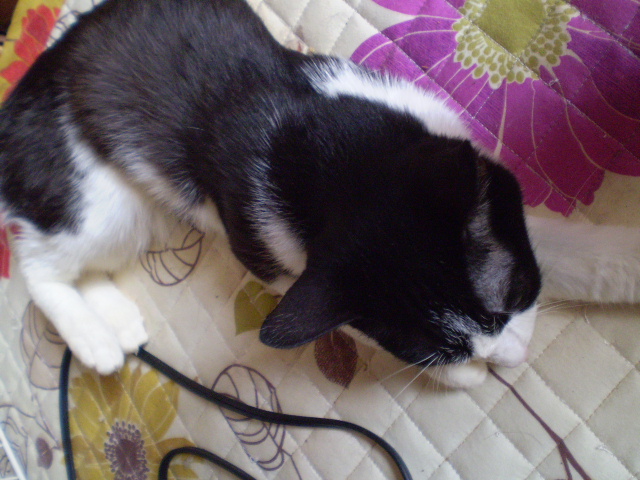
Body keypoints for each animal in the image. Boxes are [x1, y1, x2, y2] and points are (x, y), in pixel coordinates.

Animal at [1, 0, 638, 389]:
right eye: (444, 351)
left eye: (515, 295)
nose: (514, 359)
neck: (314, 163)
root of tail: (38, 72)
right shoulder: (266, 254)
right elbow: (344, 324)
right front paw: (465, 376)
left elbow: (553, 237)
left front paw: (620, 262)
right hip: (90, 188)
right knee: (41, 262)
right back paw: (91, 336)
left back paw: (114, 318)